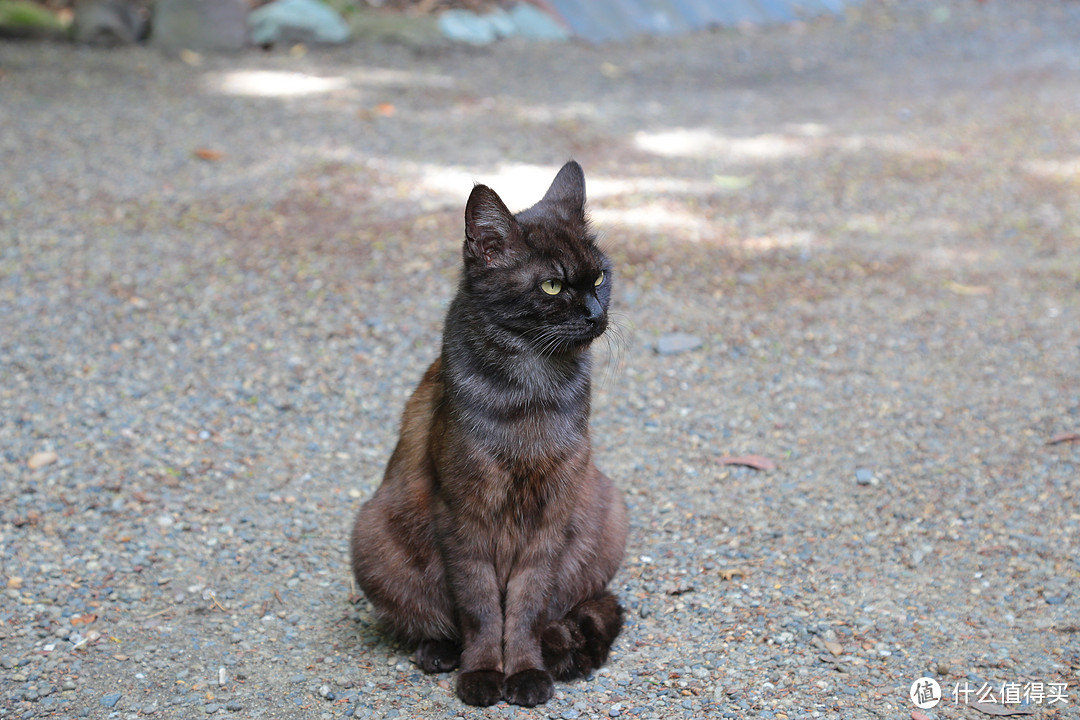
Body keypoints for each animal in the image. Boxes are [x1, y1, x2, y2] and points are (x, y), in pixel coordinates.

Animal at [349, 160, 630, 708]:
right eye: (552, 286)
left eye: (599, 278)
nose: (595, 314)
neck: (532, 394)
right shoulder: (464, 514)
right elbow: (480, 607)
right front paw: (481, 674)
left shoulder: (550, 515)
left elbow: (525, 607)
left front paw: (525, 673)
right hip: (372, 536)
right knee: (435, 619)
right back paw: (440, 651)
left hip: (608, 514)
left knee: (569, 608)